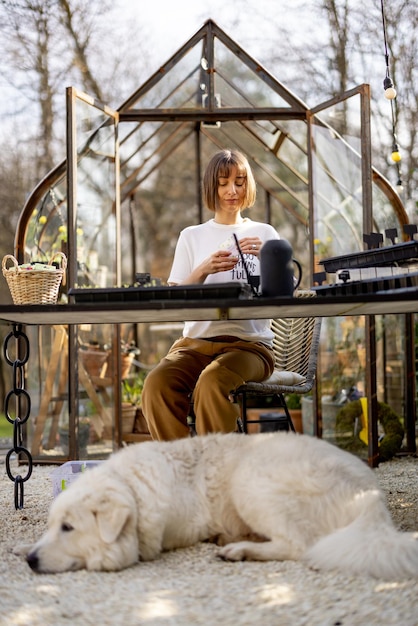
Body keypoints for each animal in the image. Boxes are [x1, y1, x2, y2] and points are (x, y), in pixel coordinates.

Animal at [26, 432, 418, 576]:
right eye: (51, 526)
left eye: (68, 528)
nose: (30, 560)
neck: (133, 488)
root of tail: (370, 495)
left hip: (251, 480)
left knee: (299, 545)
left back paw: (238, 549)